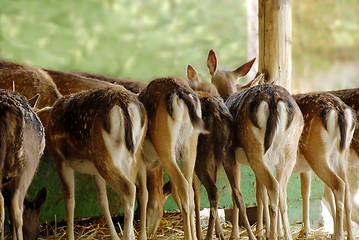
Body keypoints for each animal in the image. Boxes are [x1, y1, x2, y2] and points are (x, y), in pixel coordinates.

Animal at [45, 86, 147, 240]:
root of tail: (123, 104)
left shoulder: (61, 160)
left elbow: (69, 200)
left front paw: (70, 236)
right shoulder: (95, 172)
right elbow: (102, 200)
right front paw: (114, 236)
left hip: (104, 155)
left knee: (129, 189)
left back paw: (128, 236)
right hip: (133, 154)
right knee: (138, 190)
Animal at [139, 77, 207, 240]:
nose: (151, 231)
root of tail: (179, 92)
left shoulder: (140, 160)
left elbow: (143, 194)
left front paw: (141, 235)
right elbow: (174, 193)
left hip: (165, 148)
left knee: (184, 187)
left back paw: (188, 237)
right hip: (190, 147)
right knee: (189, 190)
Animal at [187, 65, 258, 240]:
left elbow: (196, 197)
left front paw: (200, 233)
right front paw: (220, 232)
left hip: (200, 156)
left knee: (213, 191)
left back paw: (207, 236)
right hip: (227, 153)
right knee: (237, 194)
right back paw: (250, 235)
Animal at [207, 49, 306, 239]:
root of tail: (273, 100)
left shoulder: (234, 159)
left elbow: (236, 194)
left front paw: (237, 234)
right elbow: (260, 193)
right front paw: (261, 230)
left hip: (256, 152)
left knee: (274, 187)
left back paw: (273, 235)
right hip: (288, 153)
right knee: (282, 191)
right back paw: (285, 234)